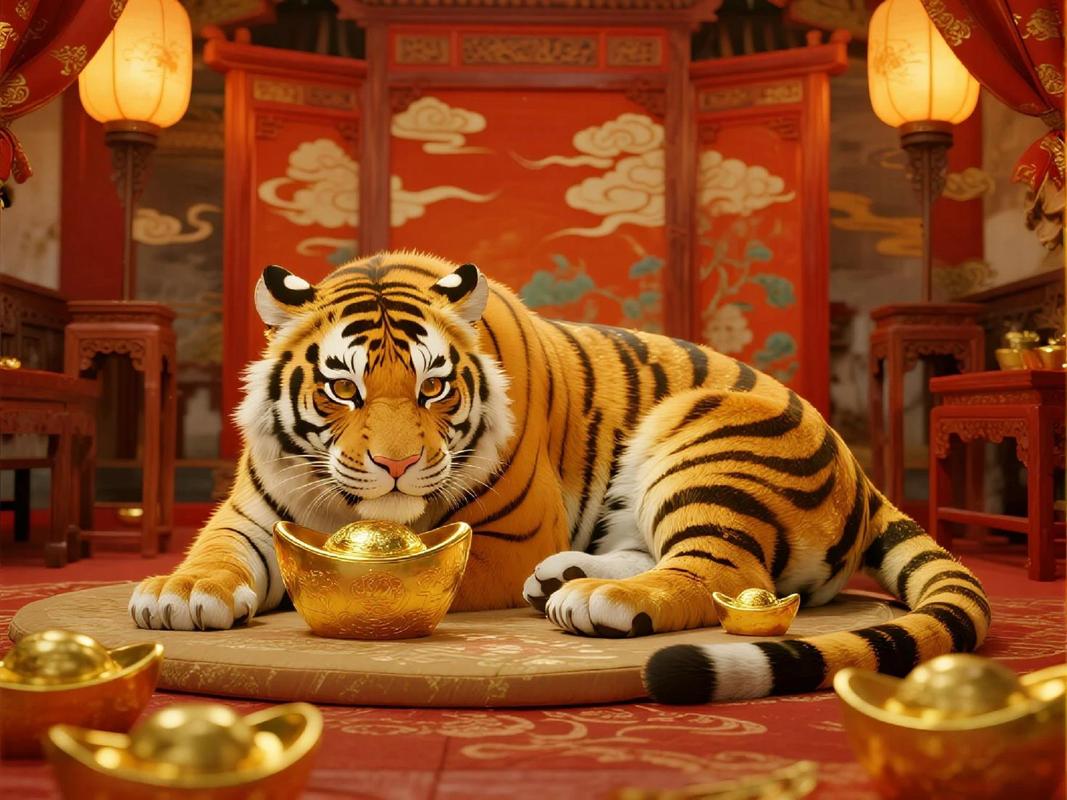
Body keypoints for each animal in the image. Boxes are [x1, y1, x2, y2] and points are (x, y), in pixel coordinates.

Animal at [130, 250, 990, 704]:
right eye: (342, 389)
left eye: (433, 389)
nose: (397, 465)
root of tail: (859, 471)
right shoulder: (251, 510)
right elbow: (217, 552)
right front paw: (180, 593)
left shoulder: (506, 534)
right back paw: (566, 579)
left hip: (703, 437)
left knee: (719, 572)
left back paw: (599, 600)